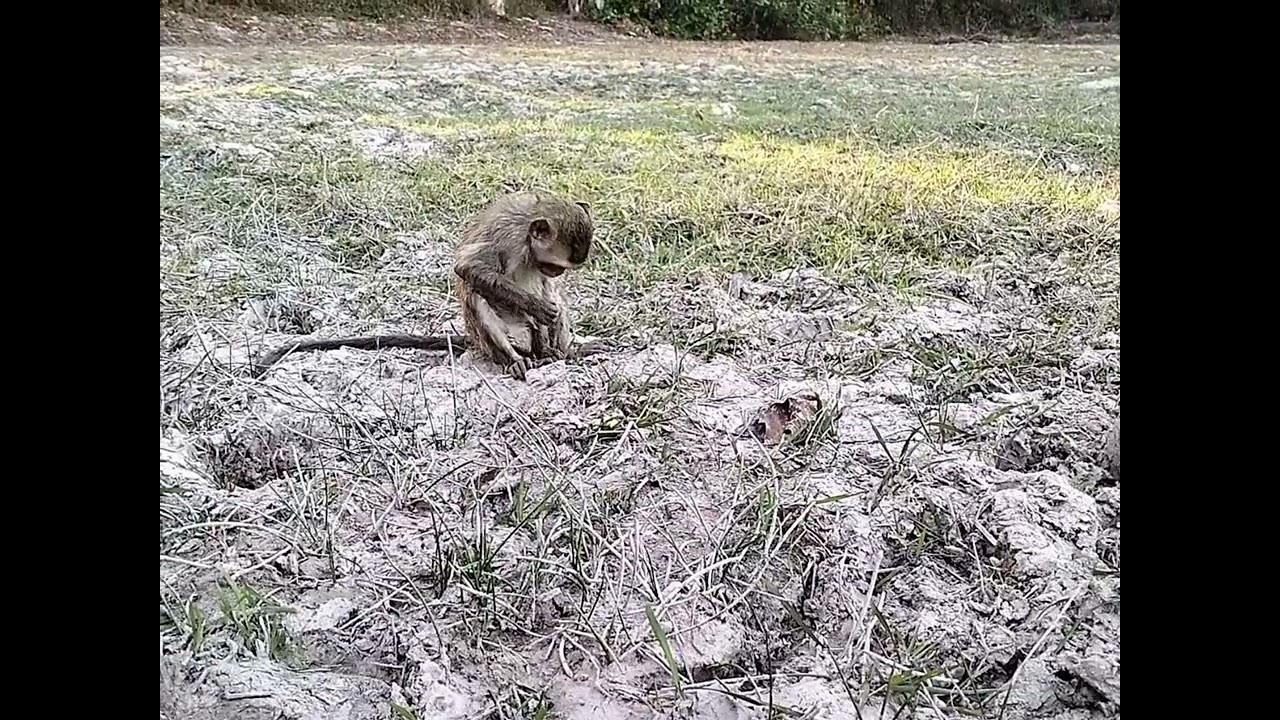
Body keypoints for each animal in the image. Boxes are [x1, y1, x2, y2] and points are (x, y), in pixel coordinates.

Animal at [250, 191, 602, 380]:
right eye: (554, 266)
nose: (554, 274)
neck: (529, 230)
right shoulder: (508, 236)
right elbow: (468, 268)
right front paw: (536, 308)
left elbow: (550, 296)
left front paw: (550, 319)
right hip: (499, 337)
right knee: (478, 298)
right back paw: (514, 359)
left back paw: (562, 352)